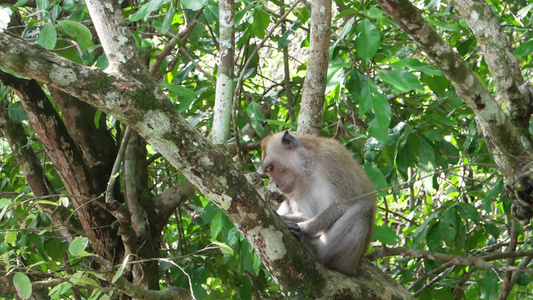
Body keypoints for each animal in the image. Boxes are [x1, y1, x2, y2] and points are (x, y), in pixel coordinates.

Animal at [260, 130, 376, 276]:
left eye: (272, 168)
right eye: (268, 170)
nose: (276, 184)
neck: (306, 165)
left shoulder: (329, 159)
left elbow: (341, 206)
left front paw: (300, 227)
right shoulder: (294, 187)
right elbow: (305, 215)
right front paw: (282, 217)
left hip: (347, 261)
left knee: (364, 208)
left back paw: (317, 252)